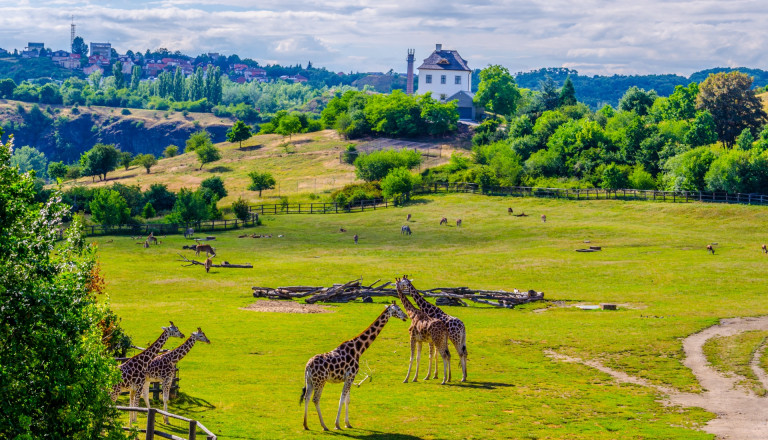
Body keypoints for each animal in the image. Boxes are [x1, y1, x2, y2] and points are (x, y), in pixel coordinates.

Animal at [300, 302, 408, 430]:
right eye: (398, 309)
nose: (406, 316)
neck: (358, 349)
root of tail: (307, 366)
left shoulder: (349, 378)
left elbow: (347, 400)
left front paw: (347, 423)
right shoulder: (351, 376)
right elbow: (342, 399)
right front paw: (337, 424)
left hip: (310, 381)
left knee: (306, 398)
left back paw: (306, 425)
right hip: (320, 381)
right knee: (315, 399)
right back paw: (324, 426)